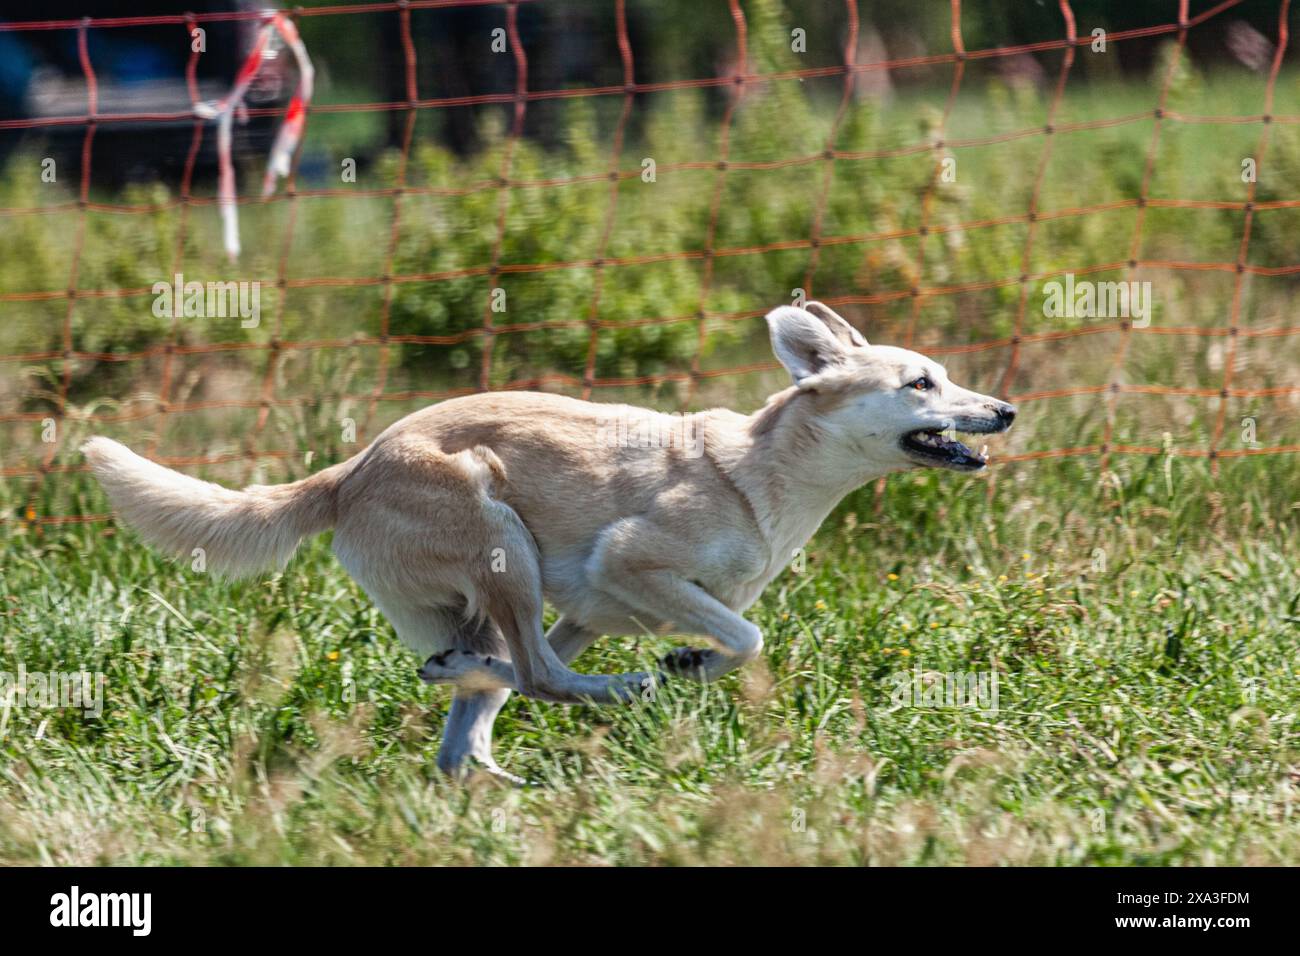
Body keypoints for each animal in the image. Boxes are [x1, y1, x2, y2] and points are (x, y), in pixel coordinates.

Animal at [83, 303, 1013, 780]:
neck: (764, 471)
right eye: (920, 383)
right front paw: (686, 663)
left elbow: (715, 639)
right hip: (500, 539)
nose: (1004, 411)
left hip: (510, 591)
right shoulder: (628, 562)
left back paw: (485, 730)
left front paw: (686, 664)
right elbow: (744, 635)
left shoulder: (591, 610)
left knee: (480, 715)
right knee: (525, 675)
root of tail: (347, 470)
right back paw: (624, 685)